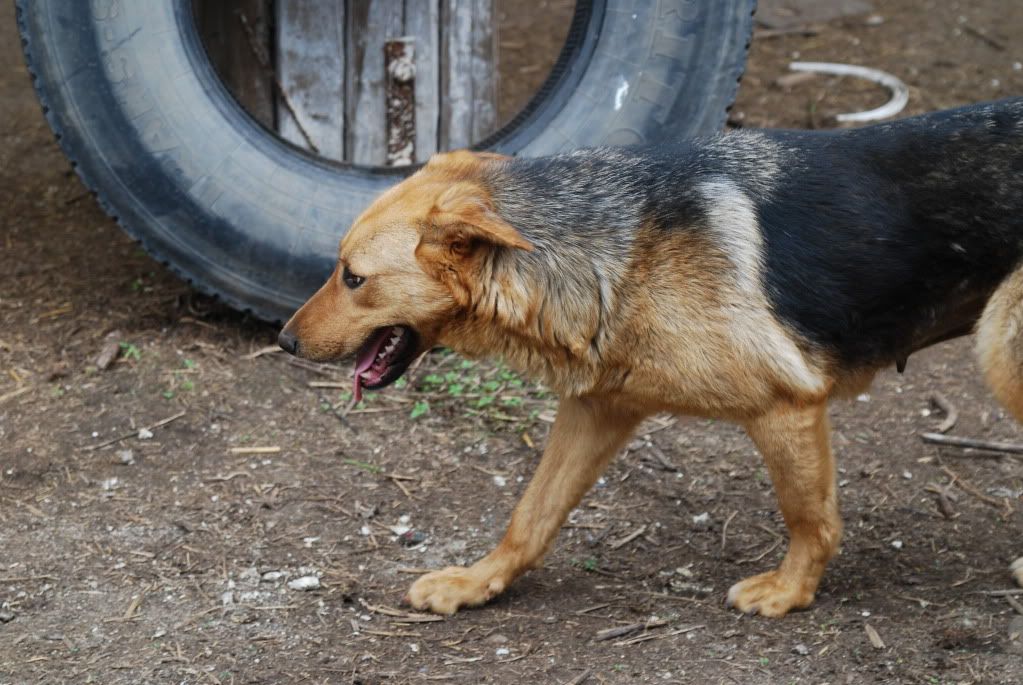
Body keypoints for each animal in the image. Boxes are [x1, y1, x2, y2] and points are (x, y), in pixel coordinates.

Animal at [278, 99, 1023, 621]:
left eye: (352, 277)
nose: (283, 342)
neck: (612, 252)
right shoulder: (597, 410)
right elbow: (530, 515)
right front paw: (477, 583)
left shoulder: (786, 408)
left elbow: (810, 518)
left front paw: (788, 592)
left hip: (999, 347)